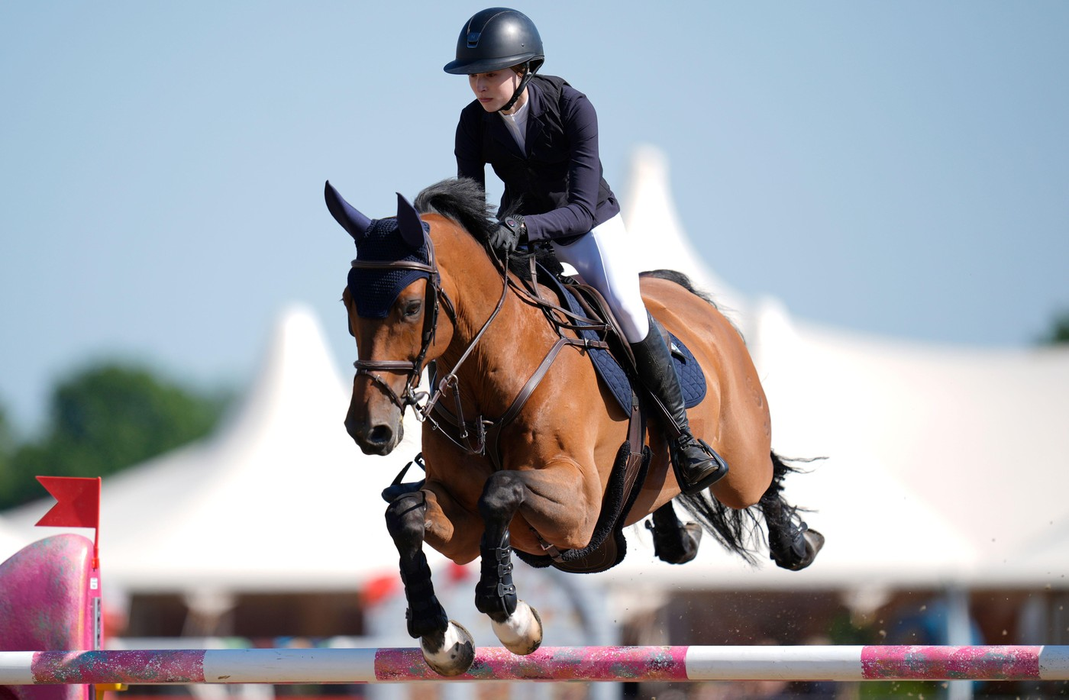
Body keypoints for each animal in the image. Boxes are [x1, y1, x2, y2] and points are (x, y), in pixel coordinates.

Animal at [326, 177, 823, 676]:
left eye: (410, 307)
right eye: (347, 303)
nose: (368, 429)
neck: (494, 373)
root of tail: (683, 295)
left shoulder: (578, 509)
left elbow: (501, 490)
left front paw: (509, 612)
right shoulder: (462, 524)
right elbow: (405, 514)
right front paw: (438, 632)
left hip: (739, 462)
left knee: (761, 478)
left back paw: (794, 542)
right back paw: (675, 534)